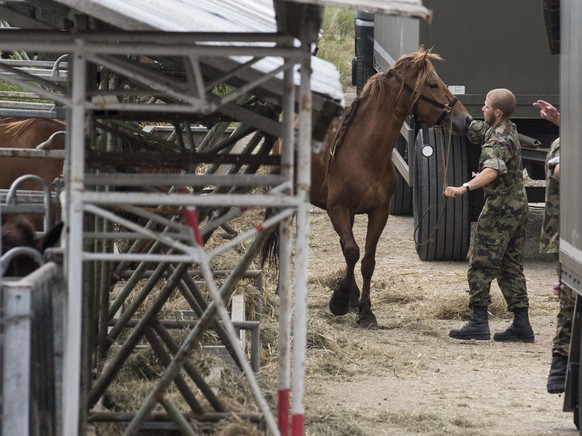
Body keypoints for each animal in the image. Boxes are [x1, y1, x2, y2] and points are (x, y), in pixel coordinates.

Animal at [264, 46, 474, 328]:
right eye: (432, 84)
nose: (466, 119)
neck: (364, 153)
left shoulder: (378, 212)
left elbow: (366, 261)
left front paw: (364, 310)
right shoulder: (338, 210)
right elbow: (352, 251)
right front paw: (340, 300)